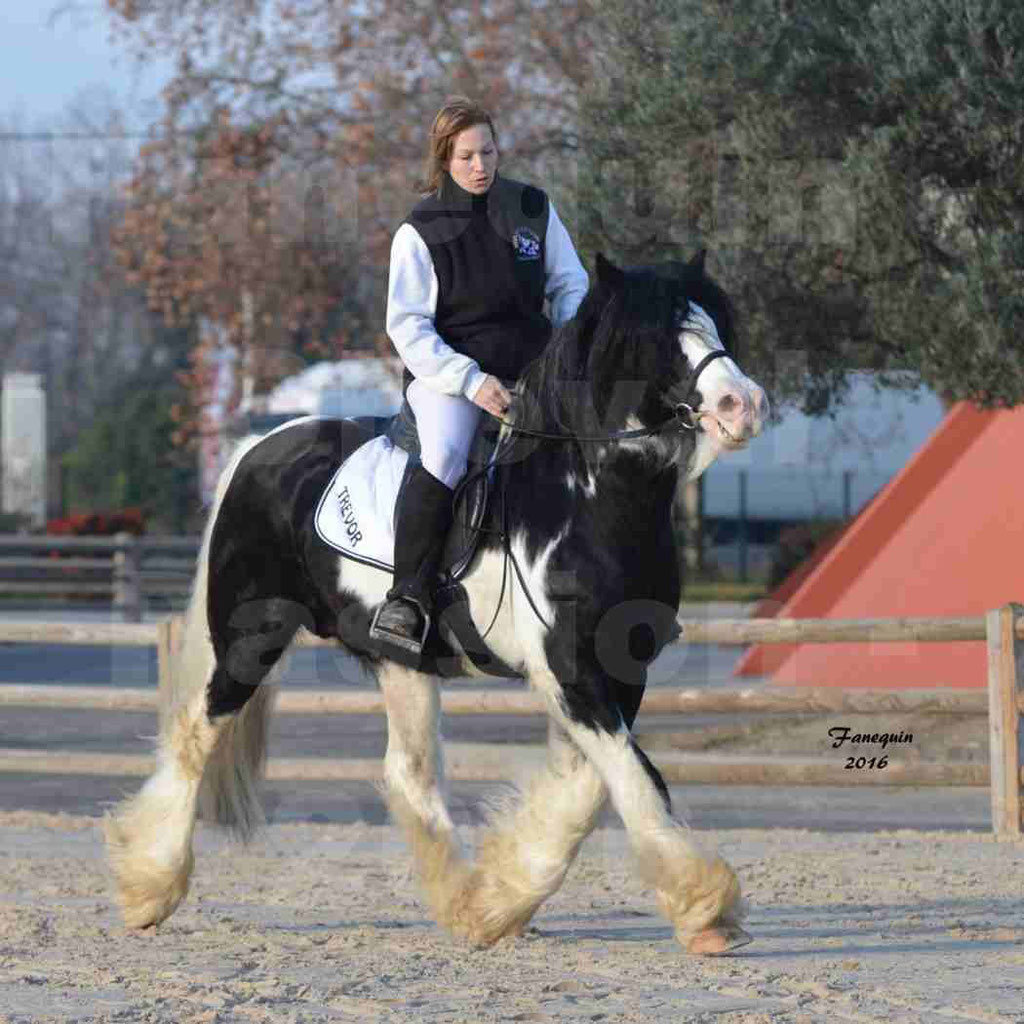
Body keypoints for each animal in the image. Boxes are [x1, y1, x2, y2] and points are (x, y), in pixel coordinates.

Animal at [103, 251, 770, 954]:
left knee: (410, 773)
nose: (745, 404)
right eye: (651, 336)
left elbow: (595, 784)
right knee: (195, 734)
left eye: (711, 322)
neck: (586, 498)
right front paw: (707, 910)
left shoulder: (620, 669)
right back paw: (147, 889)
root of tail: (256, 449)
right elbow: (636, 779)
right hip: (247, 639)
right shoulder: (568, 670)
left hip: (401, 660)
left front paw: (501, 900)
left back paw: (461, 902)